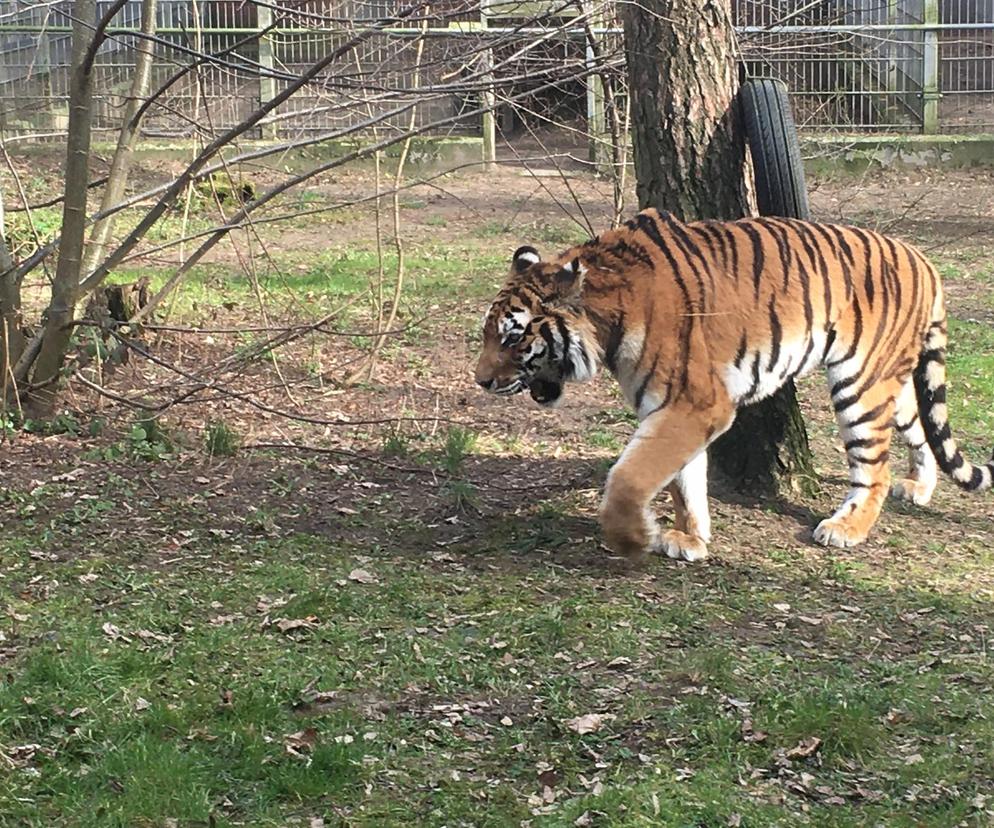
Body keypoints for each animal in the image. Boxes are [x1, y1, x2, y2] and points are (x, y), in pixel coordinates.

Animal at [474, 210, 992, 568]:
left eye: (512, 337)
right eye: (488, 335)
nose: (481, 380)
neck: (610, 317)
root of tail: (923, 259)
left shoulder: (695, 402)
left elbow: (629, 478)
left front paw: (634, 539)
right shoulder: (669, 406)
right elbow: (683, 479)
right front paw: (689, 538)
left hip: (859, 383)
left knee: (874, 468)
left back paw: (846, 527)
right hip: (891, 380)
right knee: (920, 430)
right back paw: (918, 489)